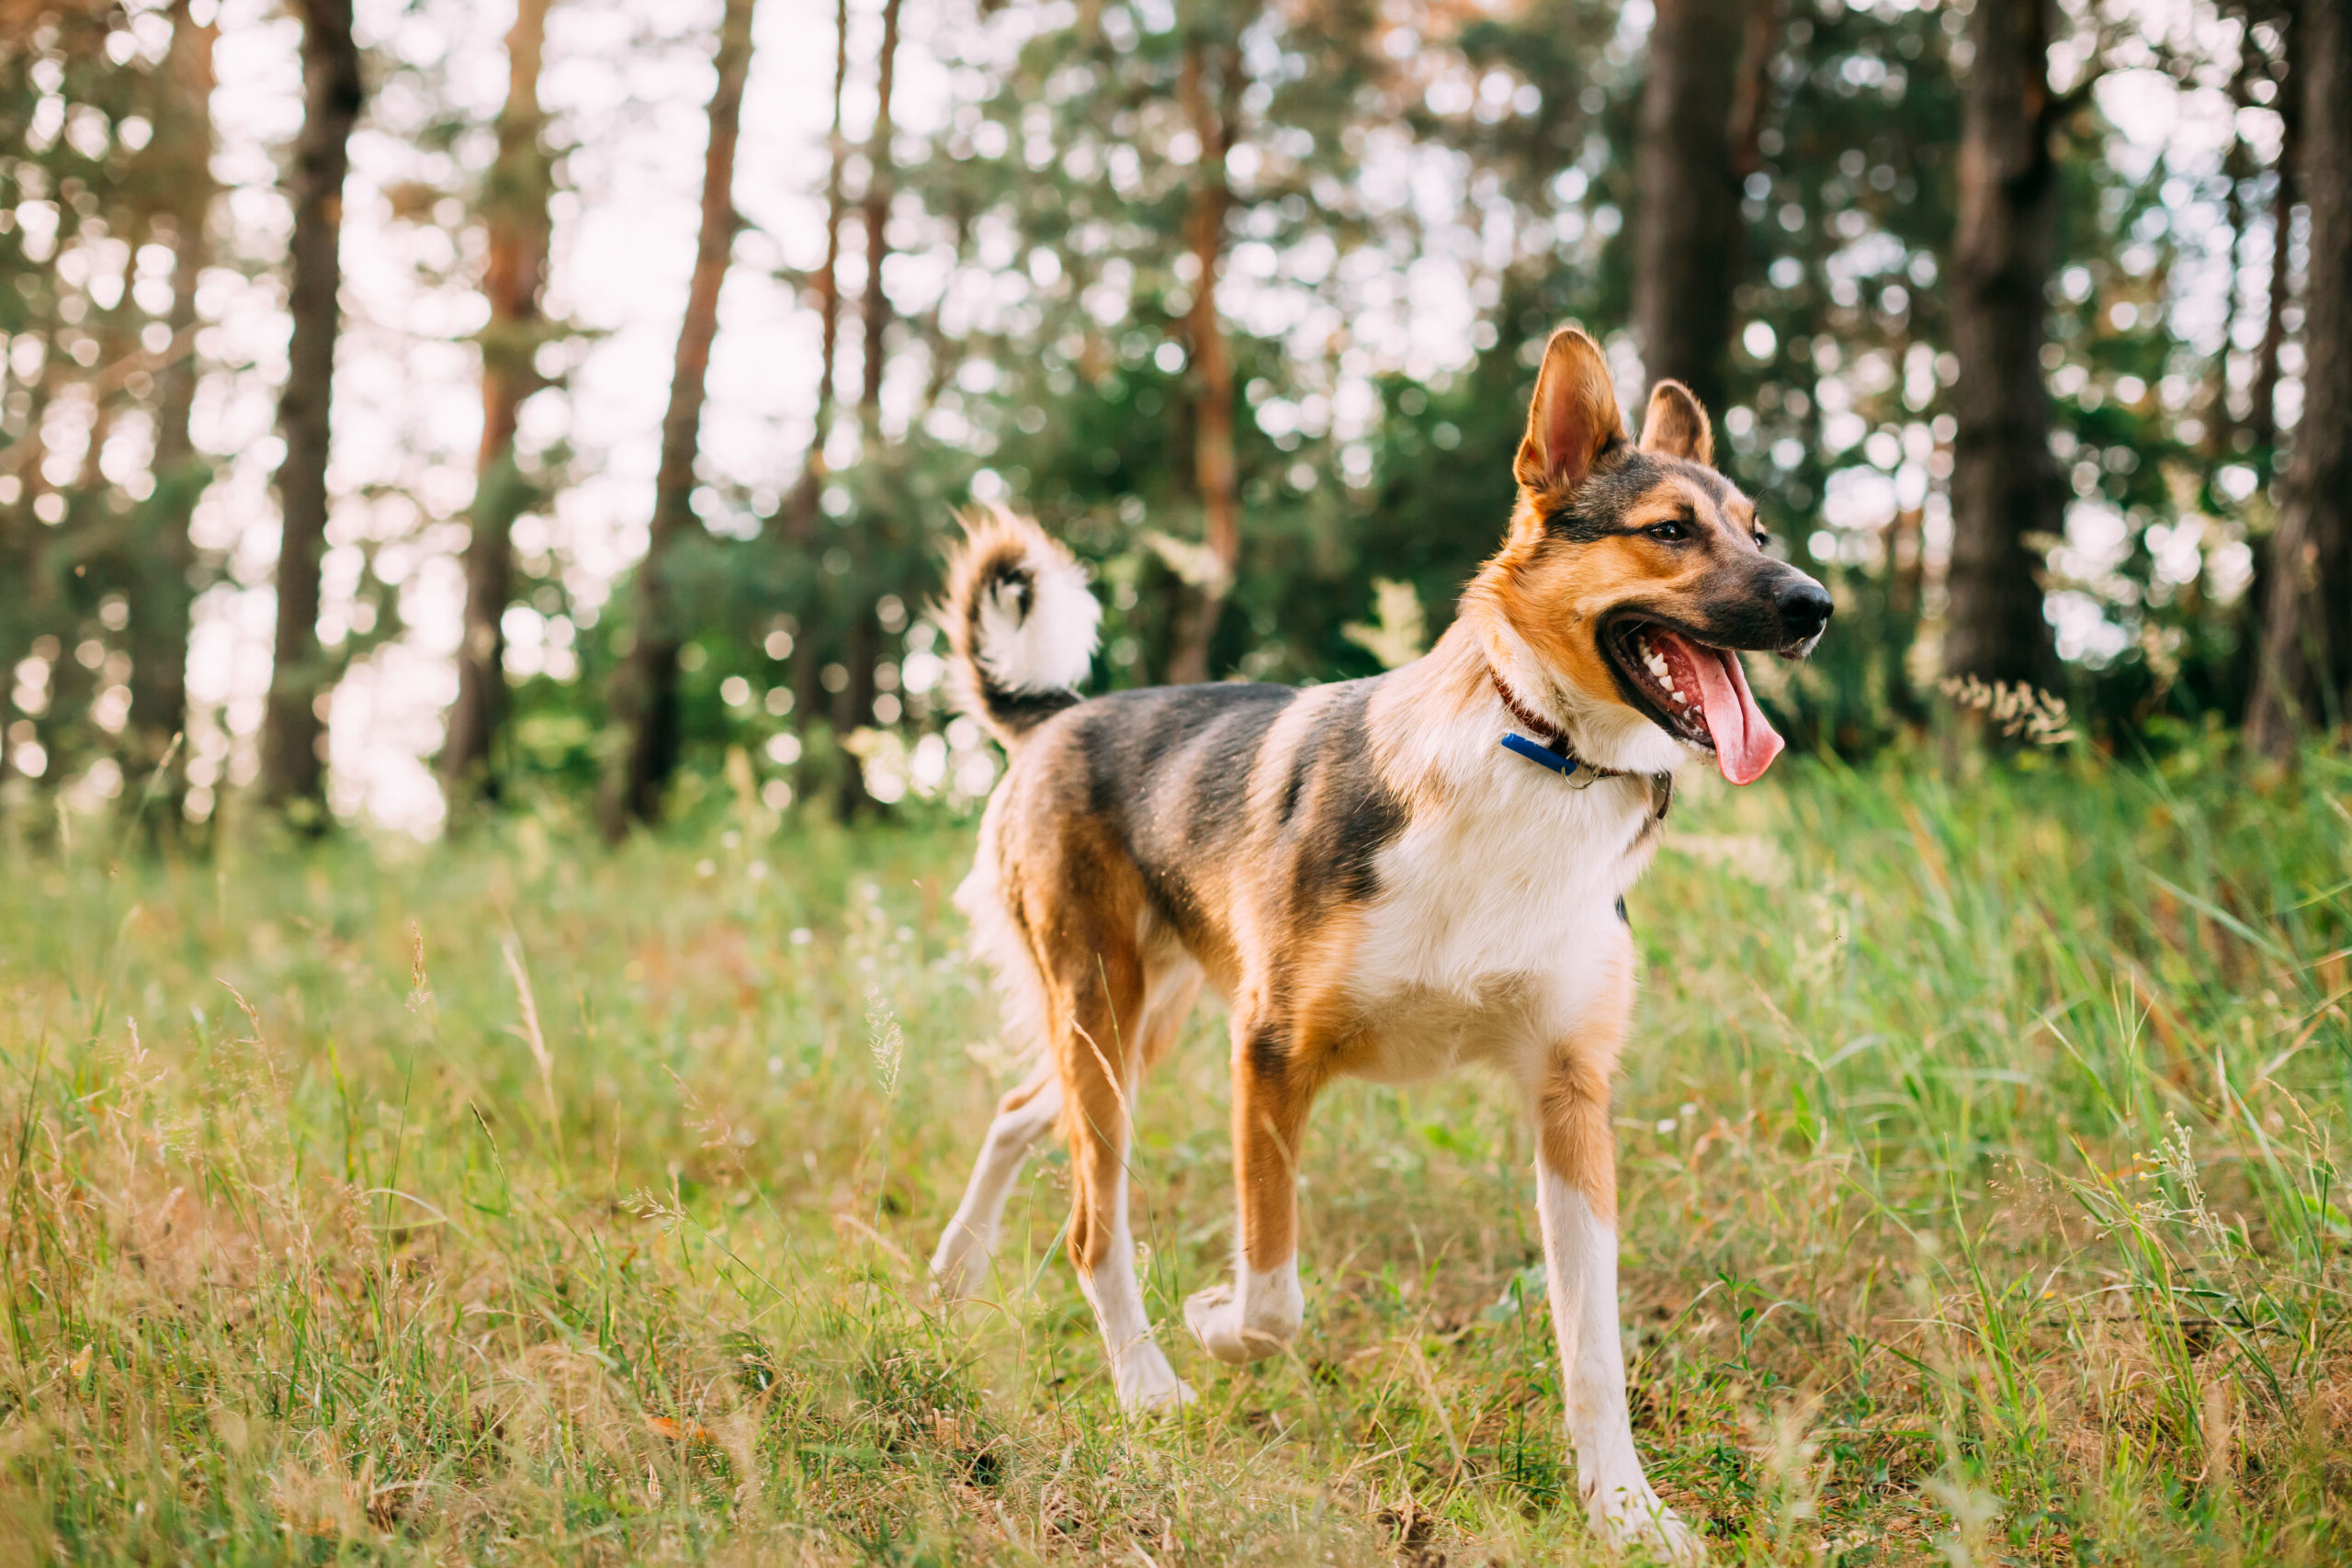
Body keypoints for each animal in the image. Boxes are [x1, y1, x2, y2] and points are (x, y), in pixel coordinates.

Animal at [926, 329, 1825, 1561]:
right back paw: (1145, 1385)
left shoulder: (1571, 1096)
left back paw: (956, 1271)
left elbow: (1594, 1352)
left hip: (1132, 1026)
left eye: (1758, 533)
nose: (1814, 604)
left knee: (1023, 1112)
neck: (1534, 755)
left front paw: (1626, 1512)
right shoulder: (1267, 1056)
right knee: (1090, 1224)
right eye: (1671, 531)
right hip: (1104, 1020)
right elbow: (1272, 1298)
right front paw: (1213, 1318)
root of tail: (1060, 713)